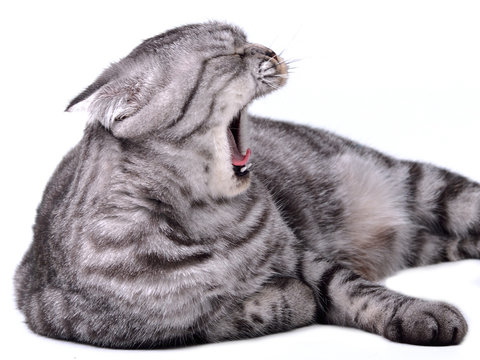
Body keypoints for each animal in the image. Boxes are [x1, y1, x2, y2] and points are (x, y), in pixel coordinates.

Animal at [14, 21, 476, 348]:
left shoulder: (305, 257)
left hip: (425, 185)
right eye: (227, 54)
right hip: (422, 239)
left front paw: (419, 314)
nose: (269, 50)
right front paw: (289, 299)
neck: (208, 220)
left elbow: (358, 291)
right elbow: (228, 316)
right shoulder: (119, 328)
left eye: (249, 41)